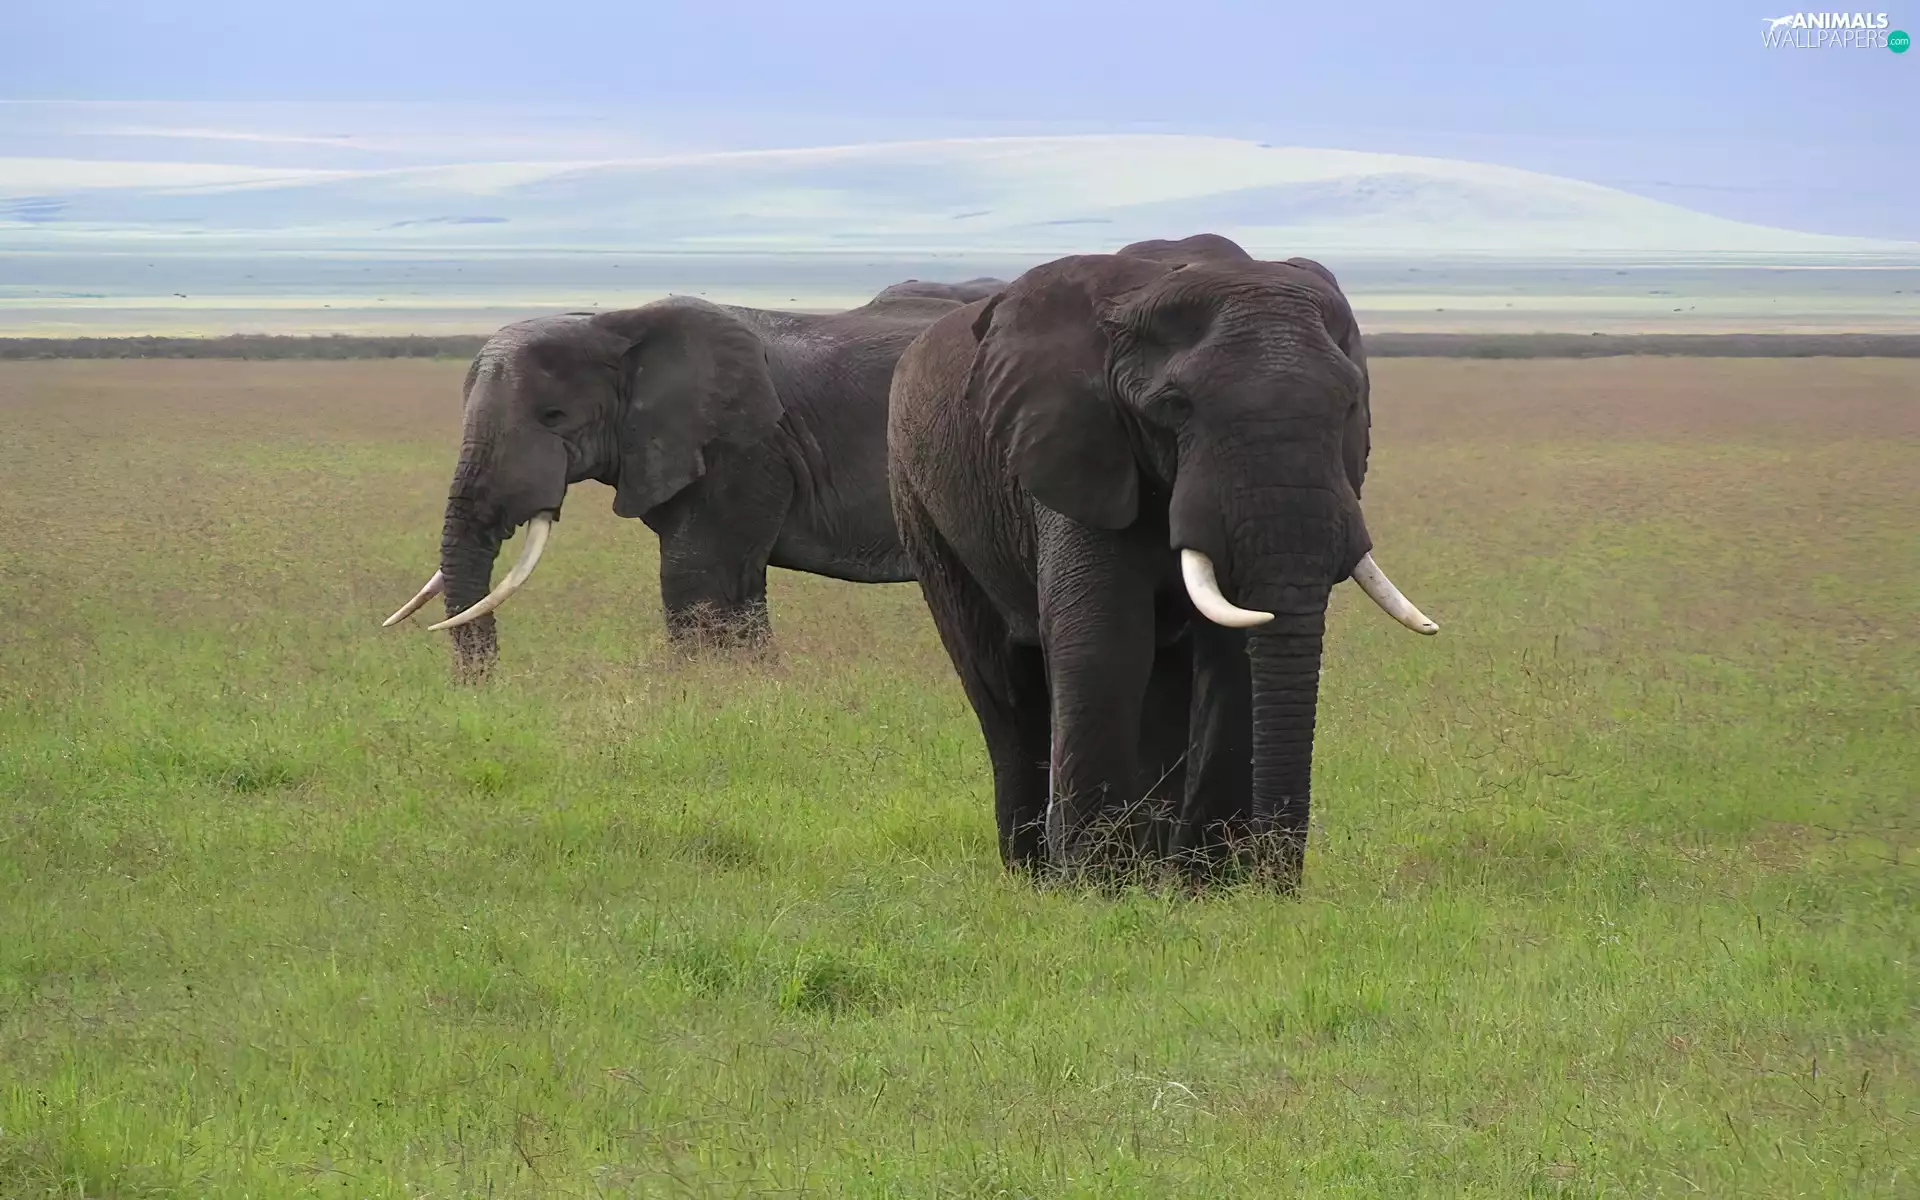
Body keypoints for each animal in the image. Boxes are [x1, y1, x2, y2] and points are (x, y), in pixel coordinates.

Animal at [887, 243, 1439, 888]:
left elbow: (1233, 654)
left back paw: (1151, 871)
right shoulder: (1076, 447)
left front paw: (1208, 886)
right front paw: (1095, 885)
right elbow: (1105, 639)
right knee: (996, 674)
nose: (1278, 882)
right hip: (919, 497)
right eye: (1175, 407)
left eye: (1351, 404)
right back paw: (1035, 872)